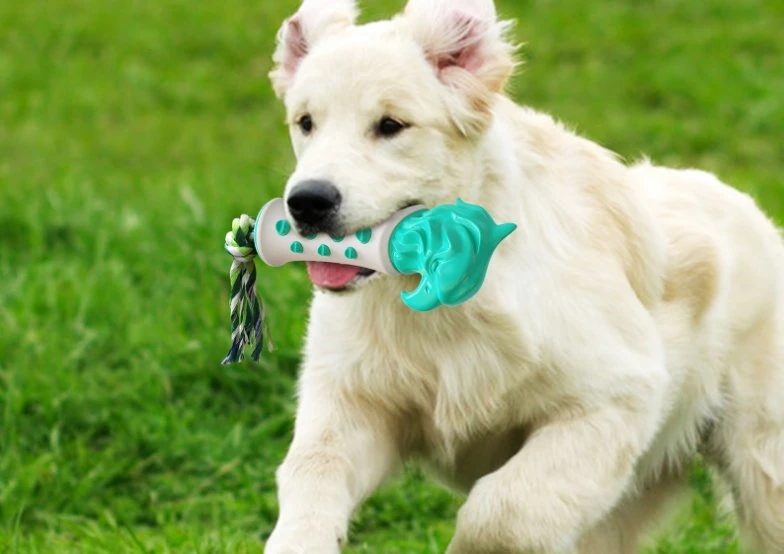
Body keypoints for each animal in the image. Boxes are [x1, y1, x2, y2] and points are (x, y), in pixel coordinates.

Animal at [262, 1, 784, 548]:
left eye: (390, 125)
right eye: (306, 123)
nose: (307, 202)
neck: (437, 296)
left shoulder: (614, 398)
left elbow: (503, 510)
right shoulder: (352, 400)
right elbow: (312, 471)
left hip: (762, 459)